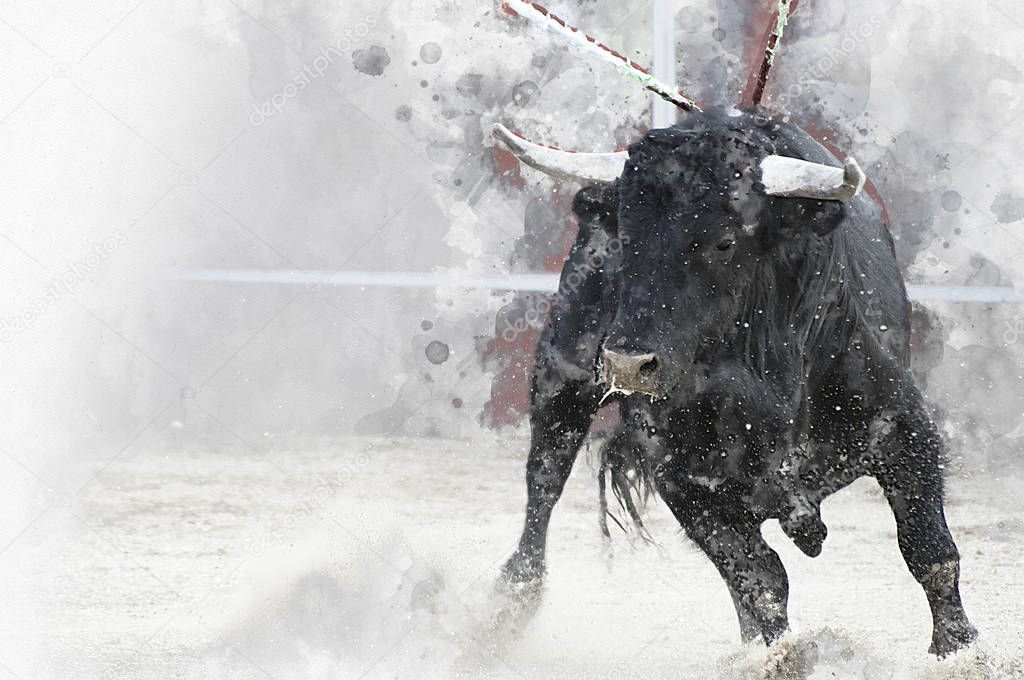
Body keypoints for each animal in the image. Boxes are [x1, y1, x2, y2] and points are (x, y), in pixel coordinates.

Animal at [499, 109, 978, 655]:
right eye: (625, 239)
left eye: (724, 241)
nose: (626, 364)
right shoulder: (682, 476)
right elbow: (759, 576)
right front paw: (781, 657)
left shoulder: (904, 429)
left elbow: (929, 551)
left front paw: (958, 650)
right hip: (562, 375)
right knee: (544, 479)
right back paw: (513, 597)